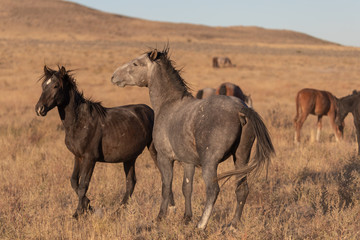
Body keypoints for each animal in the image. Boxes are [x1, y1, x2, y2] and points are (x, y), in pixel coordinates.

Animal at [34, 65, 156, 218]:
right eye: (43, 85)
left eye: (56, 86)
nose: (39, 109)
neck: (80, 121)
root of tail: (150, 110)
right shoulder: (78, 157)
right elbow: (74, 181)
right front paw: (88, 206)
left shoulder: (89, 159)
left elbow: (83, 185)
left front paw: (78, 213)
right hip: (129, 158)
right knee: (130, 182)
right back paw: (118, 211)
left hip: (153, 150)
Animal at [109, 47, 272, 230]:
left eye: (136, 63)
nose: (114, 76)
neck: (169, 104)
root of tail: (241, 108)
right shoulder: (188, 162)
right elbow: (187, 187)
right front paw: (186, 218)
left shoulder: (165, 158)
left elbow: (166, 186)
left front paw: (160, 217)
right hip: (241, 157)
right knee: (242, 189)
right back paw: (233, 225)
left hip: (210, 162)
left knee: (213, 190)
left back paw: (201, 225)